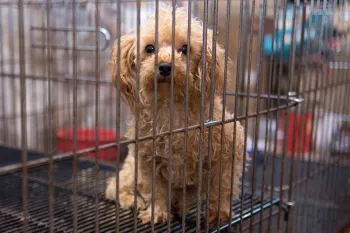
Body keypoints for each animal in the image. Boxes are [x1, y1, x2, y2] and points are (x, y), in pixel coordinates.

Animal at [105, 5, 245, 226]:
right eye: (149, 49)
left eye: (185, 49)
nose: (164, 66)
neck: (172, 110)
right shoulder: (148, 161)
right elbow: (157, 192)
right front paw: (157, 213)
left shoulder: (229, 151)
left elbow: (221, 187)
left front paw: (219, 213)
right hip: (130, 170)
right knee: (114, 188)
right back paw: (133, 200)